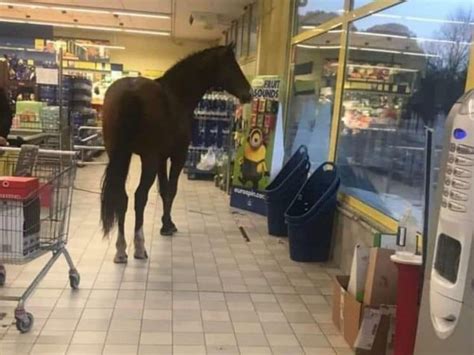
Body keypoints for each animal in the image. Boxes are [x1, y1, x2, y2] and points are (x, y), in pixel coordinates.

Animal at [100, 44, 252, 262]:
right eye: (232, 65)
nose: (249, 93)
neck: (176, 95)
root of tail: (130, 91)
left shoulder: (162, 158)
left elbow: (163, 190)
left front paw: (167, 223)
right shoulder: (177, 156)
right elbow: (171, 190)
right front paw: (167, 226)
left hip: (121, 156)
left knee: (122, 197)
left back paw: (121, 250)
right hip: (147, 160)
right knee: (139, 196)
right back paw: (139, 247)